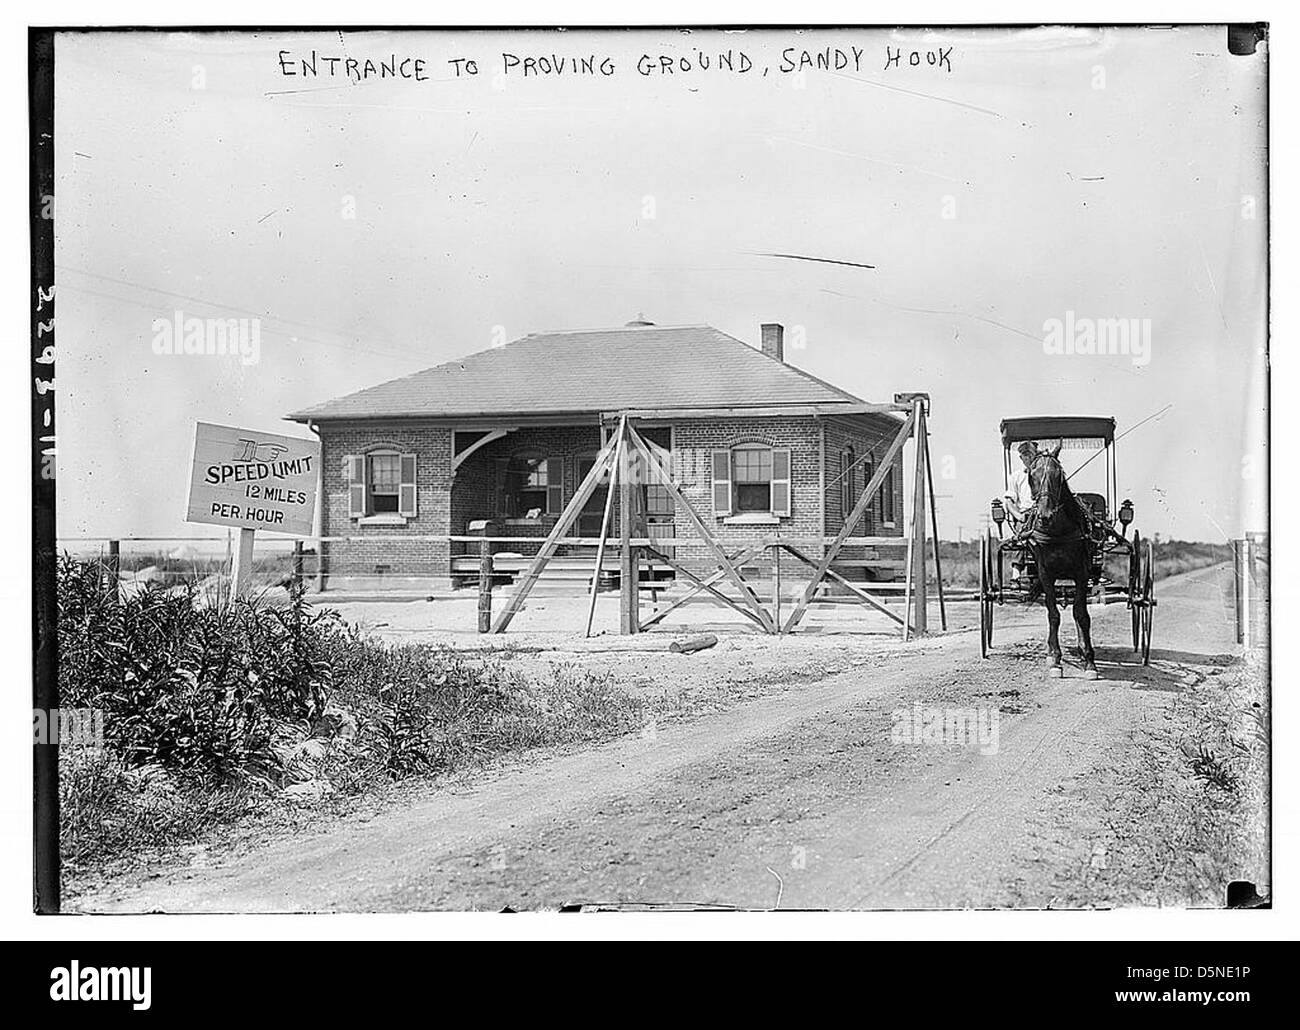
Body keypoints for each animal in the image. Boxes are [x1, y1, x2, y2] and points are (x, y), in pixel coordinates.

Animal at [1024, 444, 1097, 681]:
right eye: (1031, 475)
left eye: (1059, 475)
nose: (1045, 515)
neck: (1058, 531)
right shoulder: (1046, 574)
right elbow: (1053, 614)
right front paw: (1055, 659)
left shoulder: (1082, 573)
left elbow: (1081, 614)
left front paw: (1089, 660)